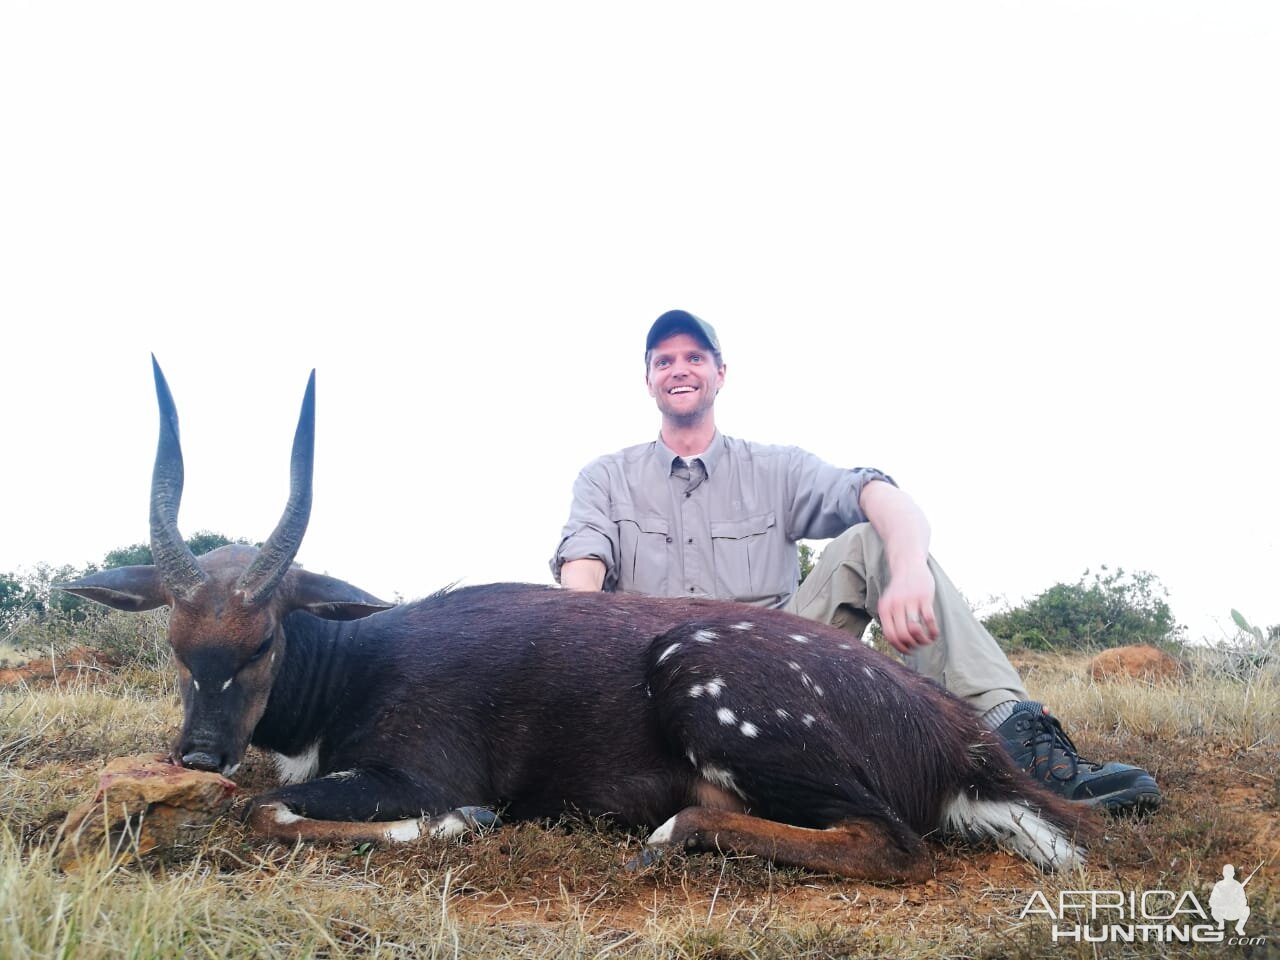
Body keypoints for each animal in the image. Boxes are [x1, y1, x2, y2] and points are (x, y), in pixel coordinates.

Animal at [62, 358, 1090, 880]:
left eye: (265, 637)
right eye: (175, 644)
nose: (200, 752)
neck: (358, 664)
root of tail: (956, 740)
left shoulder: (417, 769)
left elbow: (269, 809)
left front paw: (460, 823)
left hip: (712, 695)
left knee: (892, 845)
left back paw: (669, 836)